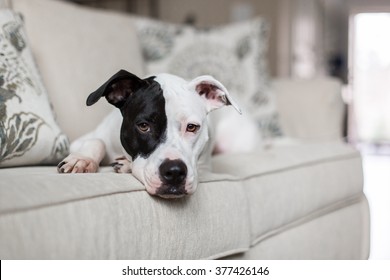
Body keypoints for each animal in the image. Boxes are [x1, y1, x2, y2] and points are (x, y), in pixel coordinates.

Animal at [58, 69, 258, 198]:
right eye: (143, 126)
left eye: (192, 127)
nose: (175, 172)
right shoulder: (82, 140)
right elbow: (96, 141)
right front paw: (82, 159)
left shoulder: (203, 167)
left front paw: (126, 165)